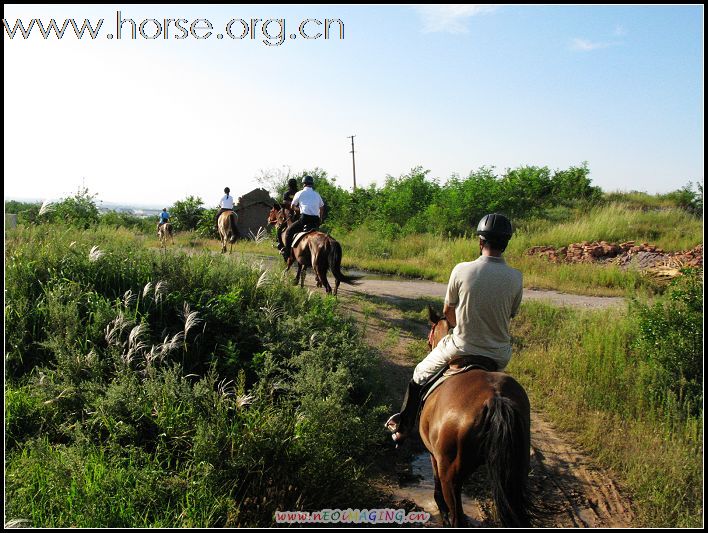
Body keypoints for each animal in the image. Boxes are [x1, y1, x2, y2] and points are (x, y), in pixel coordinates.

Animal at [420, 306, 532, 524]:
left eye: (429, 338)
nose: (429, 346)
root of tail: (494, 398)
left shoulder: (434, 456)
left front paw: (441, 511)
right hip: (516, 470)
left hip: (450, 475)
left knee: (458, 518)